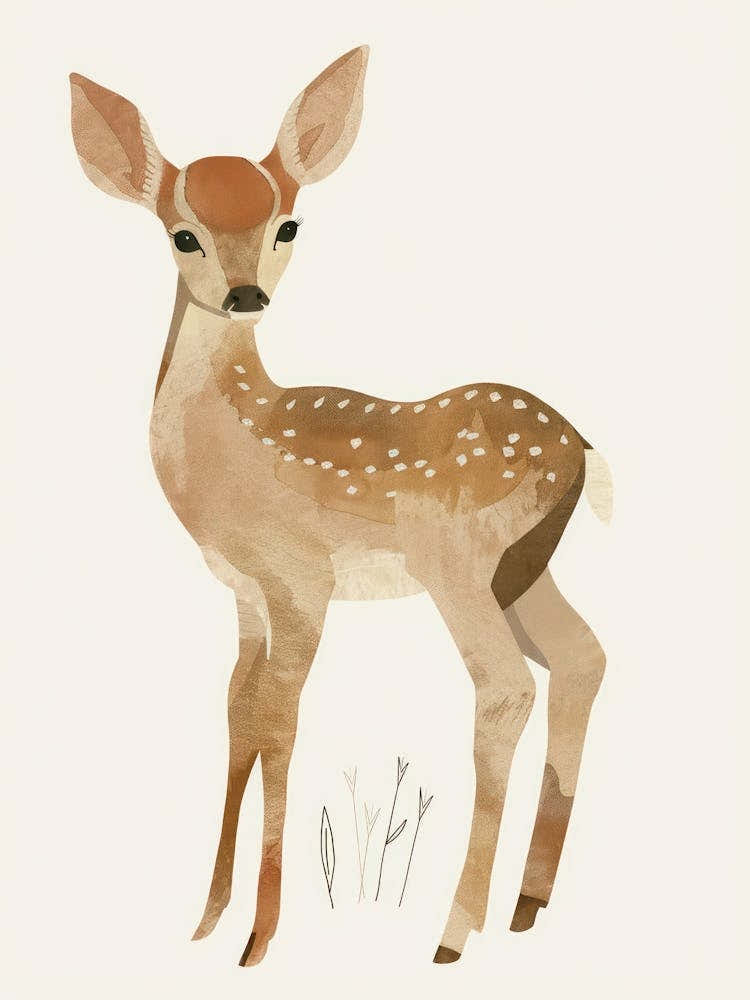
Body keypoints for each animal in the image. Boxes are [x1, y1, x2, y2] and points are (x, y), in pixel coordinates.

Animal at [69, 45, 612, 968]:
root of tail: (581, 449)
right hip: (522, 567)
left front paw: (259, 938)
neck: (237, 436)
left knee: (506, 687)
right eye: (183, 233)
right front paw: (208, 919)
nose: (245, 295)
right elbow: (238, 713)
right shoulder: (244, 593)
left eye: (287, 225)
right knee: (582, 657)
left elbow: (280, 720)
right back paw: (527, 904)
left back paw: (453, 933)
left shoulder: (300, 581)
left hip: (457, 562)